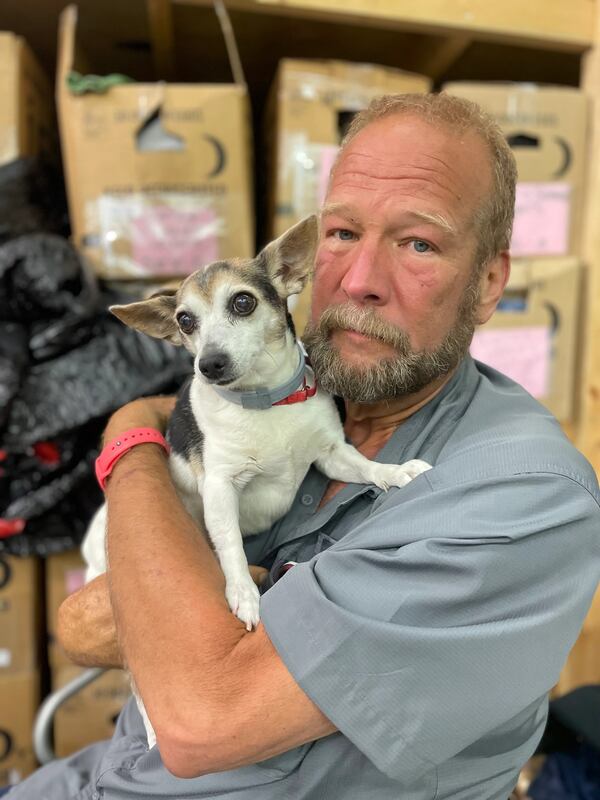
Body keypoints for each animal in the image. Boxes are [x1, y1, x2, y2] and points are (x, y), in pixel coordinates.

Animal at [82, 216, 434, 748]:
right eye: (185, 321)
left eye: (242, 302)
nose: (209, 364)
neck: (265, 403)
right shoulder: (220, 488)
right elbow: (229, 543)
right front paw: (244, 594)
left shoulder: (332, 455)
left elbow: (365, 466)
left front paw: (395, 472)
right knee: (139, 684)